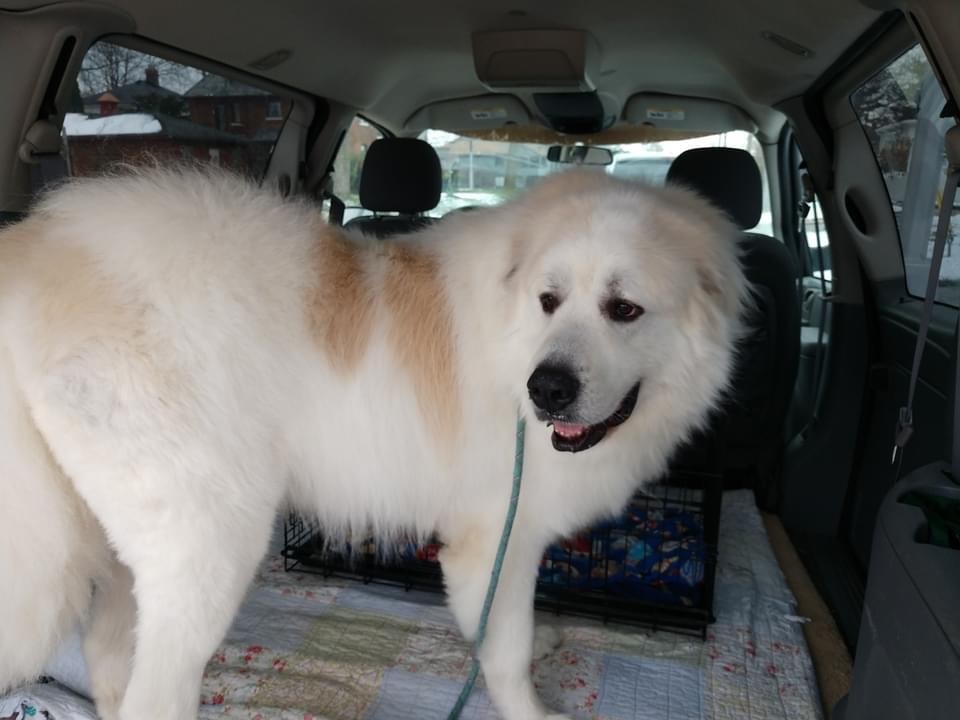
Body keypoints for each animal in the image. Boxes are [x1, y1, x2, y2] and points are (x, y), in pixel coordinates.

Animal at [0, 165, 748, 720]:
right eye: (550, 300)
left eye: (624, 309)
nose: (548, 390)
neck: (513, 342)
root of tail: (36, 251)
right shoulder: (494, 544)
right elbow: (504, 655)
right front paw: (532, 708)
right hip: (207, 542)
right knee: (154, 692)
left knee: (109, 660)